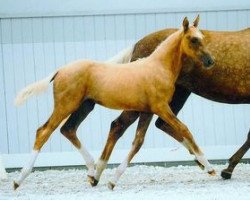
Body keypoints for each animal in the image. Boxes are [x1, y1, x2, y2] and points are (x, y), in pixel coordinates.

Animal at [13, 16, 214, 189]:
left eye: (202, 37)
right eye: (193, 39)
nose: (211, 61)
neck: (158, 67)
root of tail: (60, 71)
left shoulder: (147, 111)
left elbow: (138, 142)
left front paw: (113, 180)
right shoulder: (161, 108)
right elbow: (184, 129)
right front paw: (210, 167)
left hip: (84, 106)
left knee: (68, 130)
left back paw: (93, 171)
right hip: (65, 106)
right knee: (44, 132)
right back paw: (19, 180)